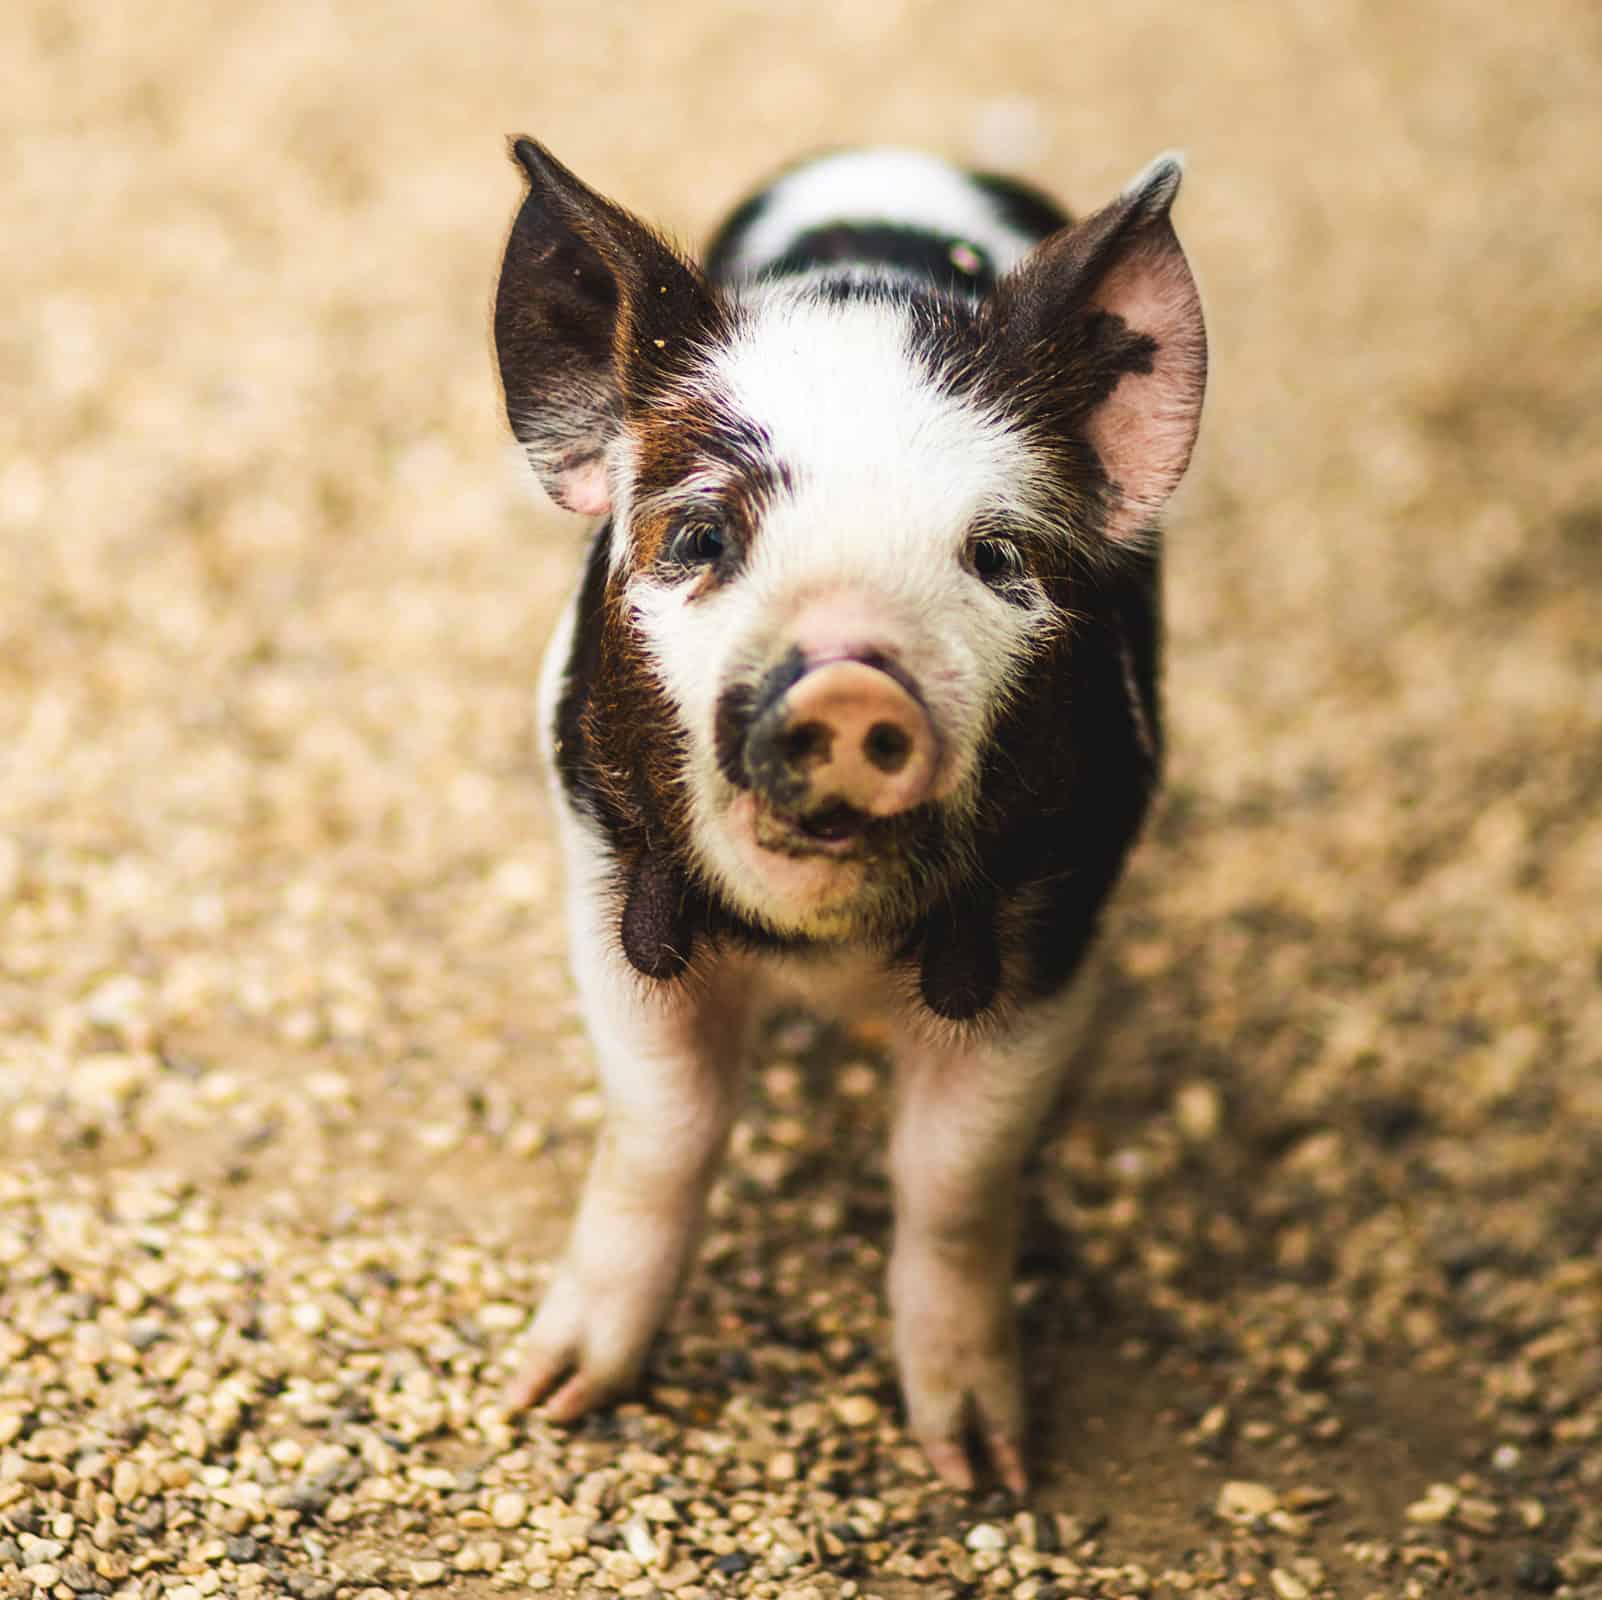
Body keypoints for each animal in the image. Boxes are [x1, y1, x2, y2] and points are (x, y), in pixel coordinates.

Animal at [492, 138, 1206, 1493]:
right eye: (700, 535)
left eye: (998, 559)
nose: (848, 680)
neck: (818, 956)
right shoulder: (603, 867)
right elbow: (663, 1126)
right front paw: (544, 1399)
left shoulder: (1056, 918)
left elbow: (954, 1174)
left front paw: (987, 1468)